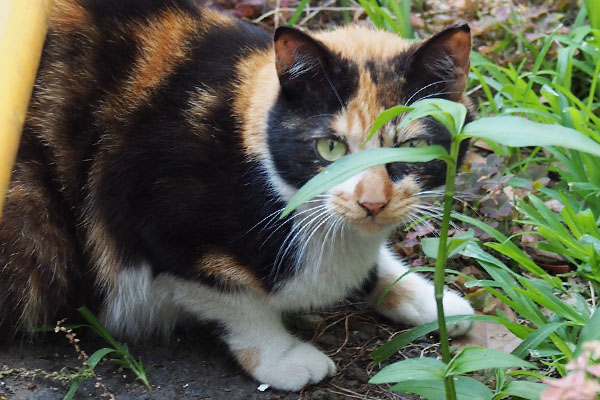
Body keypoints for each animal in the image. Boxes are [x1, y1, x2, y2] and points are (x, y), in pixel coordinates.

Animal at [1, 0, 478, 390]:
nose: (372, 202)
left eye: (412, 146)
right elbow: (232, 297)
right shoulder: (152, 212)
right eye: (330, 148)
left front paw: (425, 298)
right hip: (36, 218)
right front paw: (283, 357)